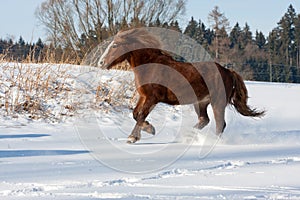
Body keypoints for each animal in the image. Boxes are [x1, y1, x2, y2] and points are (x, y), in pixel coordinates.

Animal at [99, 28, 264, 144]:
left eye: (115, 45)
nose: (101, 62)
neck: (150, 66)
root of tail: (228, 71)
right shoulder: (144, 96)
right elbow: (135, 114)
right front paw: (147, 130)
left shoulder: (153, 98)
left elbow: (140, 115)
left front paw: (135, 136)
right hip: (201, 102)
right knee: (204, 120)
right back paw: (189, 136)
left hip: (218, 102)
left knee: (219, 124)